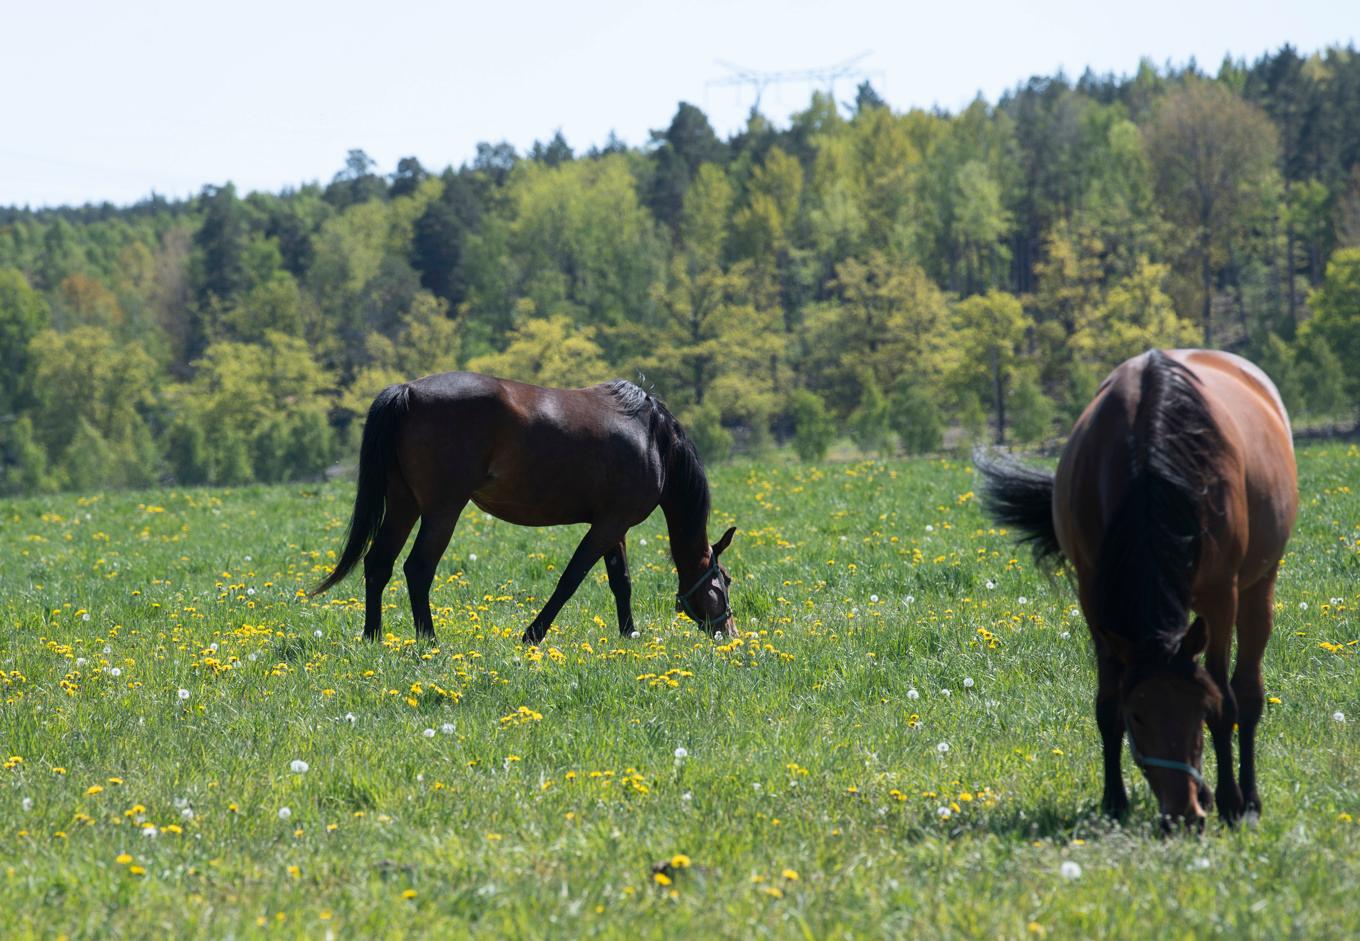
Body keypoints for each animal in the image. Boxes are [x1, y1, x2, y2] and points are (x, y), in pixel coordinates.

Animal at [312, 372, 739, 644]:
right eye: (726, 580)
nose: (729, 633)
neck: (652, 438)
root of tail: (407, 392)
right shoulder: (607, 525)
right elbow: (571, 580)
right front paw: (533, 634)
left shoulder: (614, 526)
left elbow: (622, 582)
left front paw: (629, 635)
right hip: (442, 510)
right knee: (417, 568)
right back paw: (430, 641)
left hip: (404, 504)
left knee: (378, 564)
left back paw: (372, 637)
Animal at [979, 348, 1294, 826]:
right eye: (1138, 716)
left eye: (1199, 709)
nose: (1183, 815)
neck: (1152, 468)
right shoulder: (1094, 597)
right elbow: (1105, 704)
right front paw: (1114, 801)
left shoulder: (1221, 596)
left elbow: (1227, 701)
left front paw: (1229, 801)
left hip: (1259, 584)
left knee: (1248, 692)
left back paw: (1249, 800)